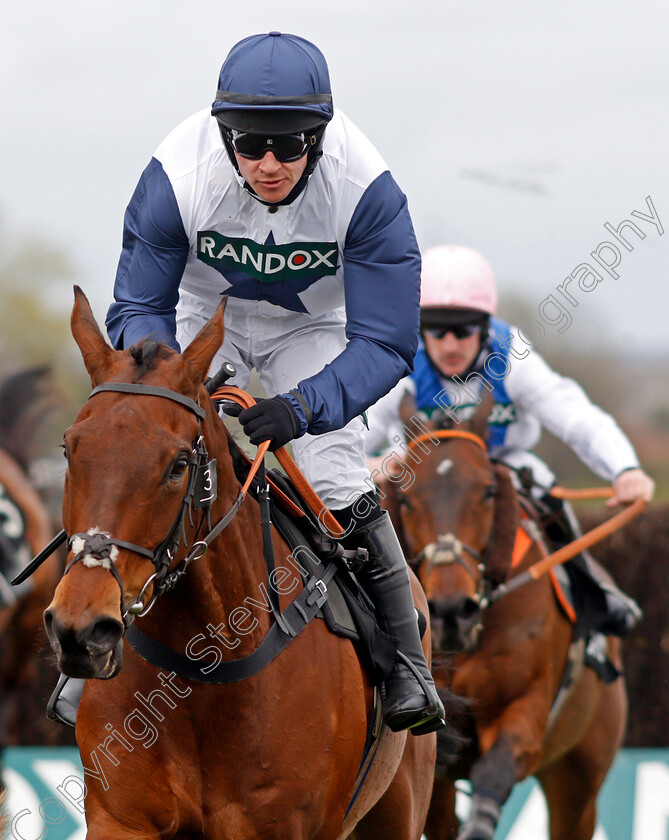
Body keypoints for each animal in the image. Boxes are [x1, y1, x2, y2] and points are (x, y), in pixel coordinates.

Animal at [43, 290, 438, 840]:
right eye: (69, 448)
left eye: (178, 465)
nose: (81, 629)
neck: (203, 673)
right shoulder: (120, 818)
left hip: (396, 812)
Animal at [380, 398, 628, 840]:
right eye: (405, 499)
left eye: (488, 491)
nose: (450, 611)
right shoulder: (436, 758)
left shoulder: (525, 708)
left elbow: (493, 774)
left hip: (579, 779)